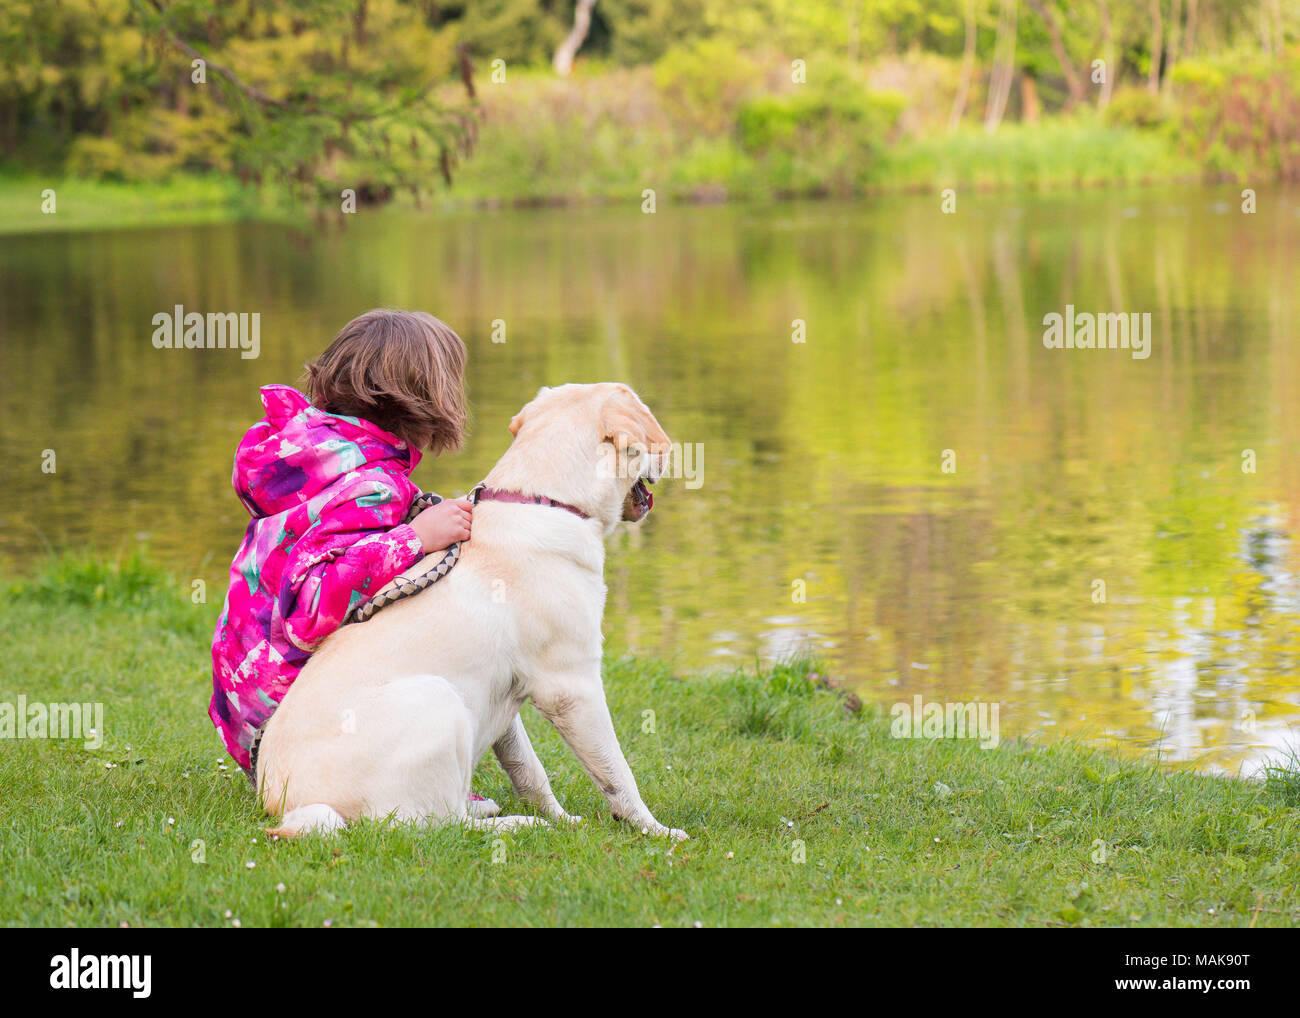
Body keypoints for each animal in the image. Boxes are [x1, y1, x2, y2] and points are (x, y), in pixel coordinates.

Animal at [250, 387, 691, 842]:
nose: (670, 454)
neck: (545, 501)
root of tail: (289, 809)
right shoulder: (572, 688)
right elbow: (617, 773)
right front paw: (654, 830)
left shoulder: (506, 695)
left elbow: (529, 770)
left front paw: (563, 819)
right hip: (440, 699)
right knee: (439, 825)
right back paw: (515, 824)